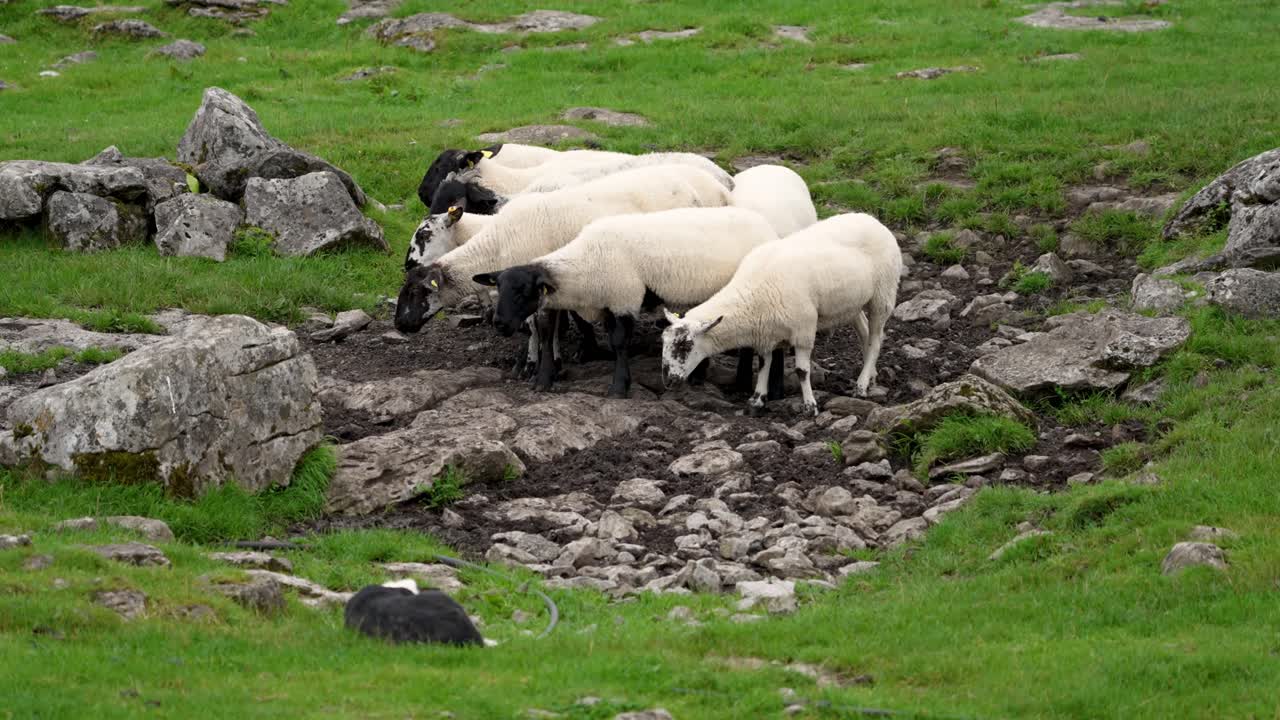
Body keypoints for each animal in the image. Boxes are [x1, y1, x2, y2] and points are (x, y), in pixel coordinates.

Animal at [395, 164, 733, 387]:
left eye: (416, 291)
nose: (399, 324)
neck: (498, 239)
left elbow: (543, 327)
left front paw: (541, 366)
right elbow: (548, 327)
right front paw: (544, 363)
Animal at [472, 206, 784, 398]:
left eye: (524, 291)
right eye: (498, 287)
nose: (499, 324)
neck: (585, 264)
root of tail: (764, 224)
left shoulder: (624, 298)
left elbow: (620, 343)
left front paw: (619, 388)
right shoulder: (595, 303)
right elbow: (553, 339)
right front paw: (542, 381)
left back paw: (749, 385)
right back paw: (708, 377)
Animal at [660, 213, 902, 416]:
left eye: (685, 346)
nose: (668, 381)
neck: (752, 294)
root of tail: (873, 220)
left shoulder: (804, 330)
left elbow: (801, 370)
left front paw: (810, 406)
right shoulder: (767, 332)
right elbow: (763, 364)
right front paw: (757, 399)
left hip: (883, 296)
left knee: (876, 340)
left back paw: (861, 386)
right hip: (851, 304)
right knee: (865, 335)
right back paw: (870, 378)